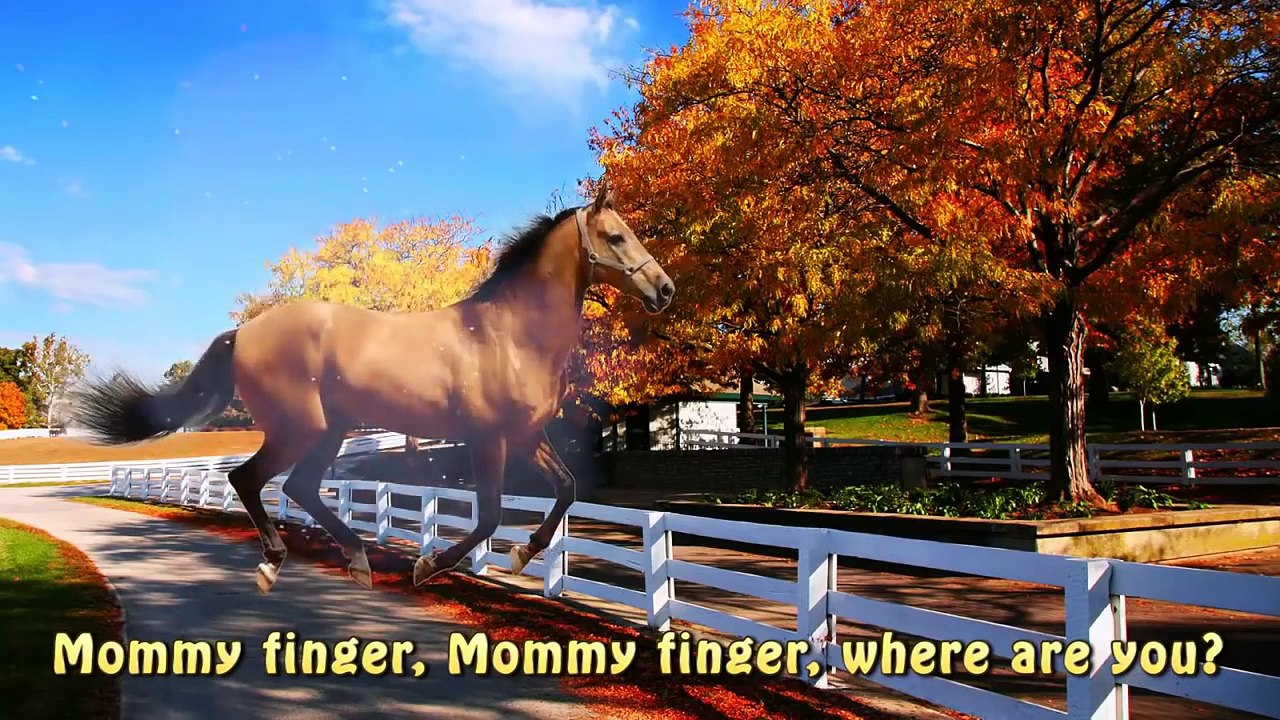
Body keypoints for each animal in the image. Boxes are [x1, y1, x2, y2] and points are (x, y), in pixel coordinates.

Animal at [67, 179, 674, 594]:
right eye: (616, 237)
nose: (665, 289)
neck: (507, 334)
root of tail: (244, 333)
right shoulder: (488, 441)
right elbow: (489, 515)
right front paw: (429, 566)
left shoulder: (526, 437)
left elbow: (566, 490)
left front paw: (523, 557)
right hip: (300, 429)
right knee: (250, 479)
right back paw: (274, 564)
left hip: (332, 430)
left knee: (298, 487)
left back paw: (357, 559)